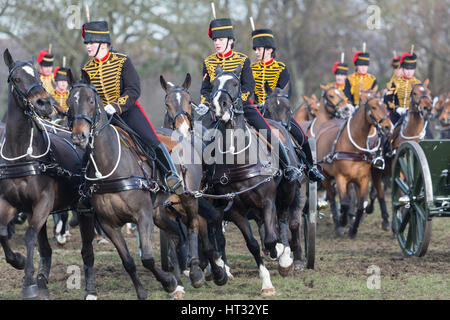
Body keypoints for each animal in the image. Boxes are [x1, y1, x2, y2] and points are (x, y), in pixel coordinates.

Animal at [0, 48, 97, 298]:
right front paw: (18, 261)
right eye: (16, 79)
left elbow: (29, 235)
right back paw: (43, 279)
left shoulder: (43, 202)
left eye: (36, 75)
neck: (21, 154)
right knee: (44, 247)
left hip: (84, 209)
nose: (43, 103)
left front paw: (28, 283)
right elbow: (3, 231)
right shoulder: (11, 202)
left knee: (86, 249)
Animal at [68, 70, 178, 300]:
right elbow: (128, 262)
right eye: (69, 102)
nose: (78, 136)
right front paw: (143, 292)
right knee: (175, 233)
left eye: (91, 100)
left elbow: (147, 258)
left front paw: (168, 282)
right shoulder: (109, 224)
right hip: (158, 211)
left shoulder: (143, 216)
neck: (108, 166)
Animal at [314, 87, 392, 238]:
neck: (353, 147)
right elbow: (344, 202)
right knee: (332, 197)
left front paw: (353, 229)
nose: (387, 127)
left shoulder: (363, 179)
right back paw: (338, 223)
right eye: (373, 107)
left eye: (385, 107)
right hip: (324, 176)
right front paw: (342, 221)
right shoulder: (340, 178)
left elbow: (360, 205)